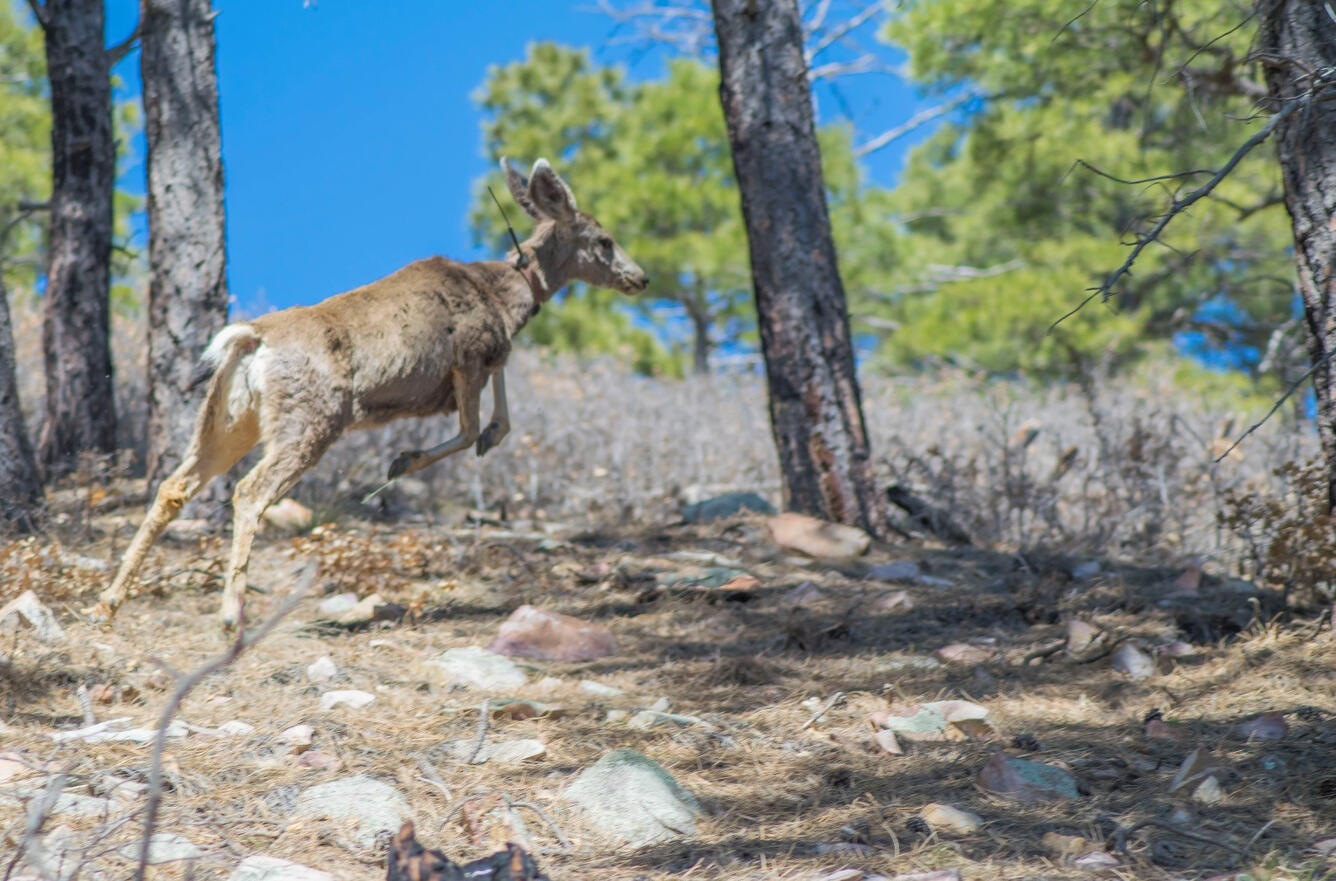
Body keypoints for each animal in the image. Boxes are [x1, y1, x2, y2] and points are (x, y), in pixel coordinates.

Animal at [92, 158, 648, 630]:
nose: (641, 277)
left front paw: (477, 438)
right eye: (604, 240)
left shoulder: (487, 356)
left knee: (174, 485)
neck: (505, 294)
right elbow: (471, 428)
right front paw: (403, 461)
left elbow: (499, 413)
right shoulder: (469, 354)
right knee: (249, 491)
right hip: (311, 417)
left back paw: (109, 601)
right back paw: (231, 615)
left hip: (229, 419)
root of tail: (251, 338)